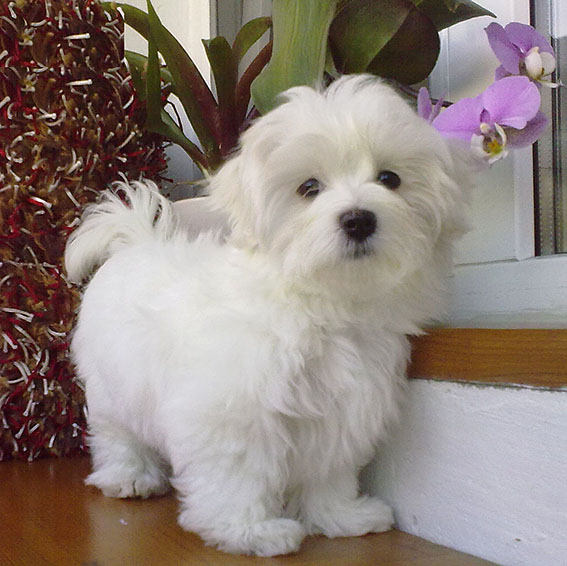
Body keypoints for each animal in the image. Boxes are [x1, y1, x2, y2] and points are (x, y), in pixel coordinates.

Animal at [65, 75, 472, 556]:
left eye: (390, 179)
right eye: (309, 187)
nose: (358, 219)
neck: (318, 304)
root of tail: (136, 241)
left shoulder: (342, 410)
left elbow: (329, 469)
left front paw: (339, 515)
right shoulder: (233, 412)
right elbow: (239, 472)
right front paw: (248, 530)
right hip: (110, 385)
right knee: (115, 432)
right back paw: (129, 476)